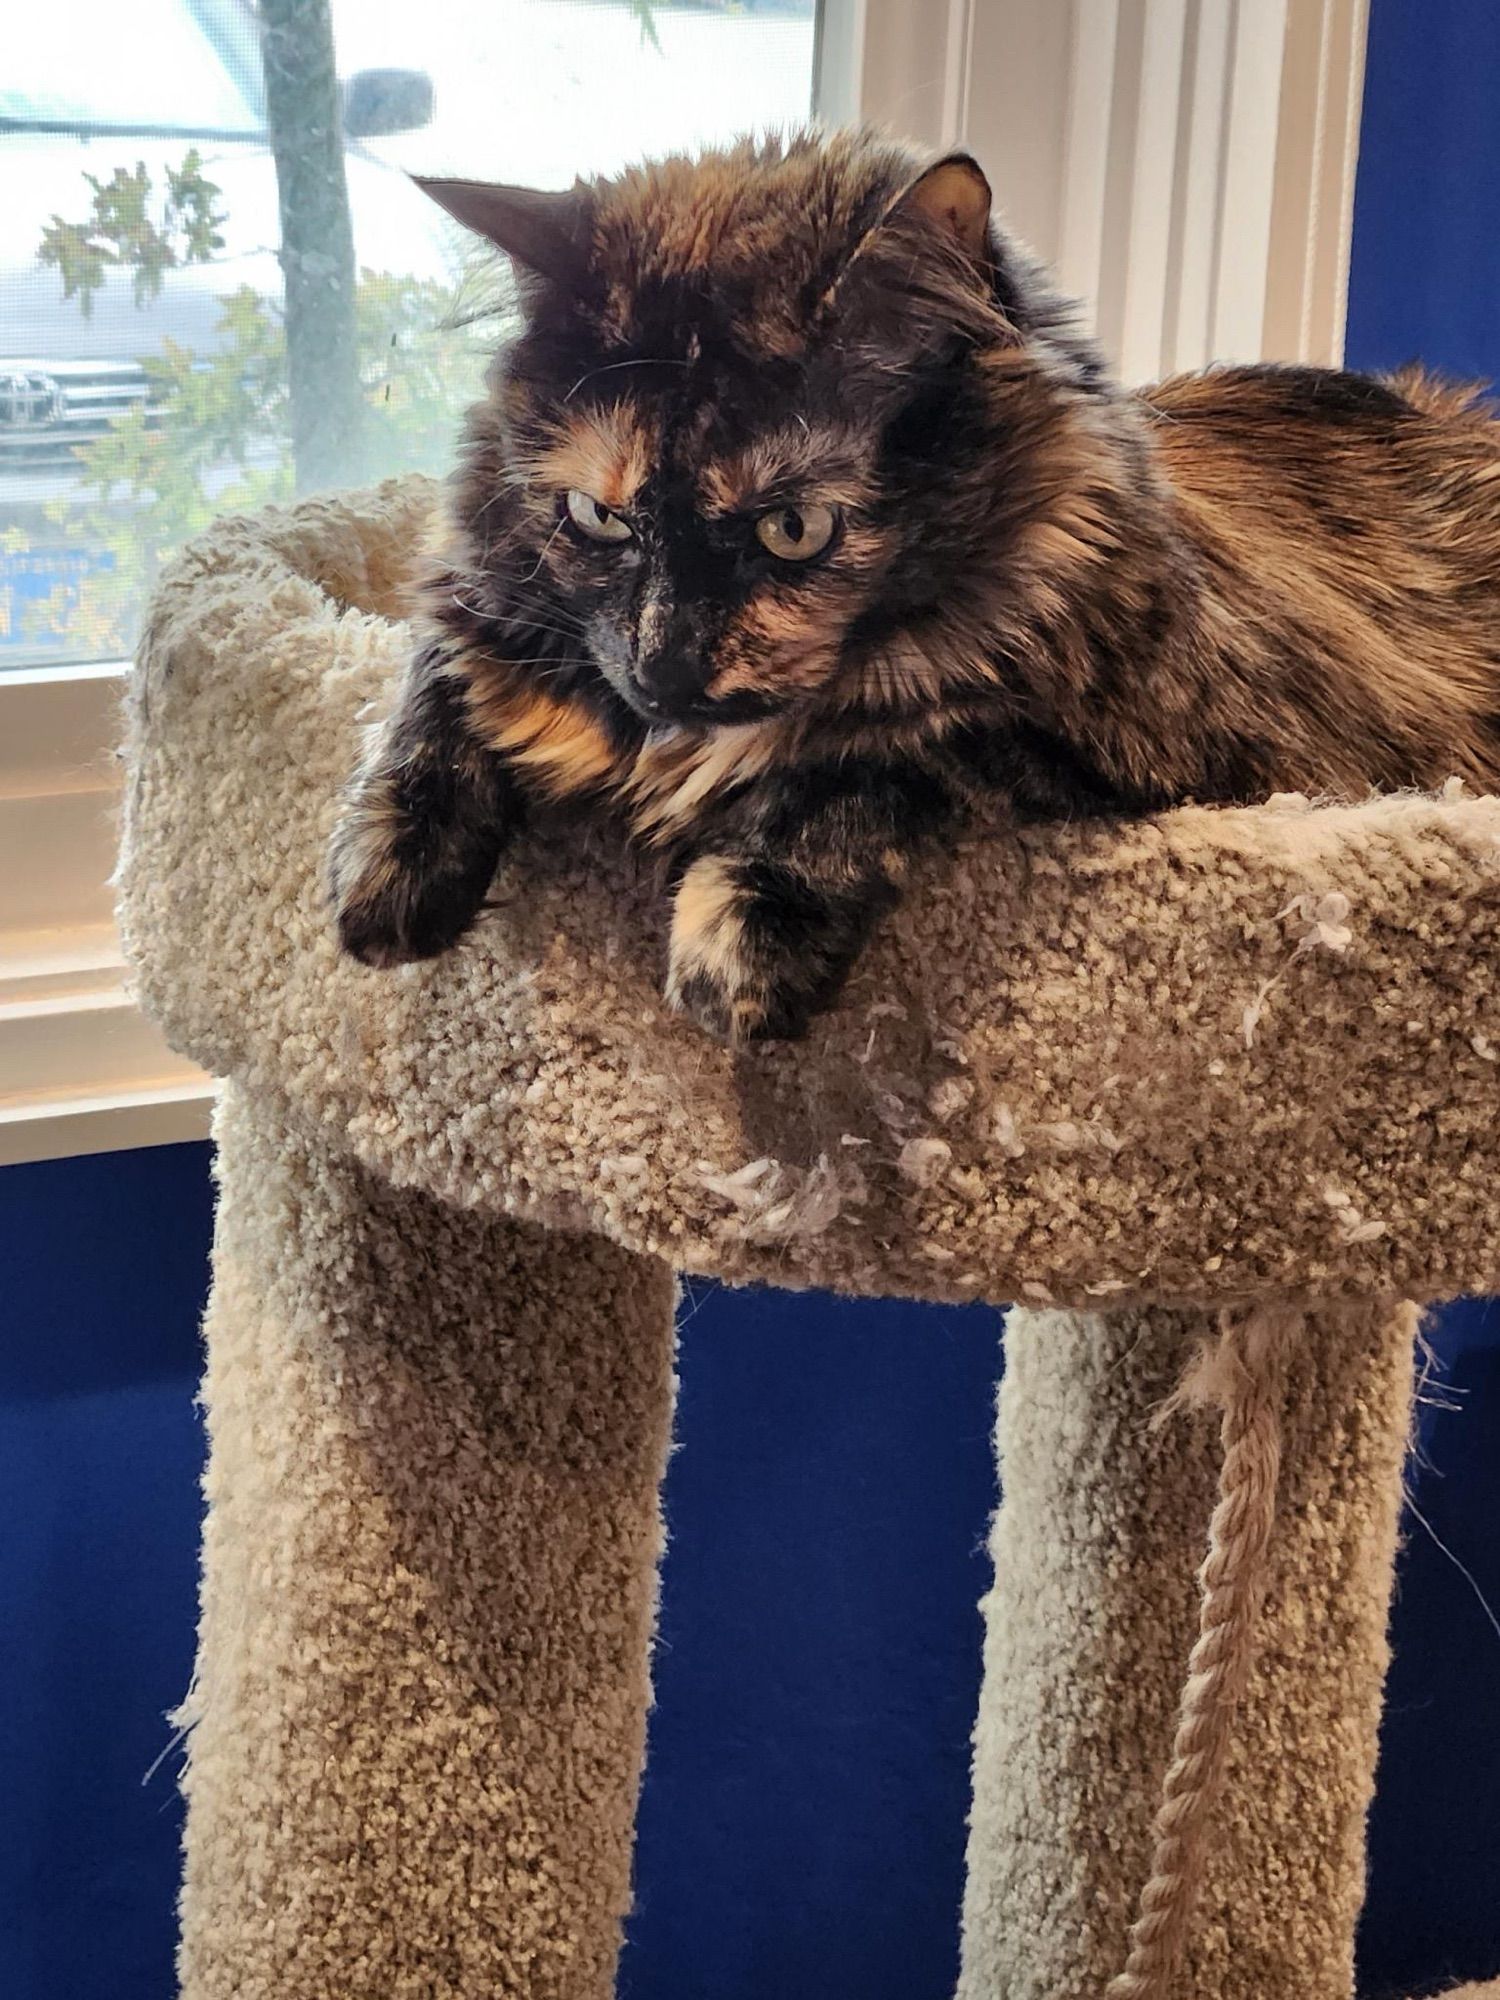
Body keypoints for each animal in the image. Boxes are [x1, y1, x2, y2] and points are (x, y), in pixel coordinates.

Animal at [334, 131, 1500, 1040]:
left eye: (794, 528)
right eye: (598, 517)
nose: (663, 672)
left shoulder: (1179, 747)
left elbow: (887, 747)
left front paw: (743, 932)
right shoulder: (482, 603)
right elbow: (435, 680)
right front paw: (386, 874)